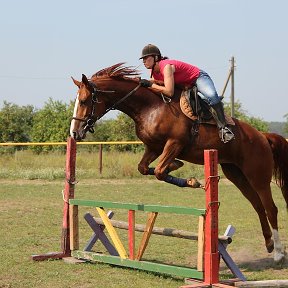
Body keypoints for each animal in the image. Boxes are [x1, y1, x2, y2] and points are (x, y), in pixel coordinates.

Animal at [69, 62, 288, 264]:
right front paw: (183, 173)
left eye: (84, 100)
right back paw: (269, 244)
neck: (149, 107)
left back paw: (278, 253)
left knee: (271, 208)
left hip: (257, 176)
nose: (74, 133)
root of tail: (262, 136)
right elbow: (145, 168)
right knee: (258, 206)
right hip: (237, 175)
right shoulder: (154, 148)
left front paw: (184, 174)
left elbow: (159, 170)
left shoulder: (175, 143)